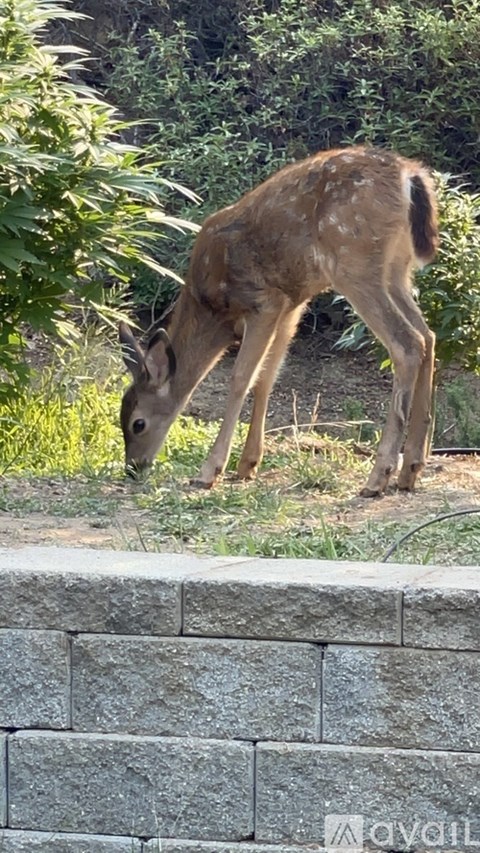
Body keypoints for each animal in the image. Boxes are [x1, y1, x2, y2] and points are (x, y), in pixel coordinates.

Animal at [119, 145, 439, 497]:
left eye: (137, 423)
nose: (132, 468)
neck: (212, 309)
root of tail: (409, 176)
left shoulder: (264, 301)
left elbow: (241, 378)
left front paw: (210, 470)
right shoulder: (290, 306)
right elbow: (267, 377)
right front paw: (247, 464)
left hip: (353, 262)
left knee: (408, 343)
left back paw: (378, 476)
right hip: (396, 269)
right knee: (428, 335)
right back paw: (411, 468)